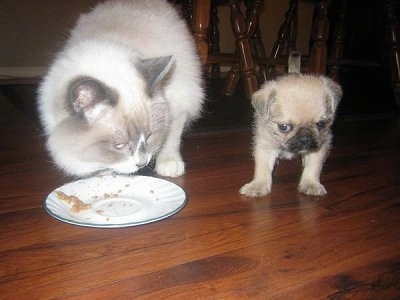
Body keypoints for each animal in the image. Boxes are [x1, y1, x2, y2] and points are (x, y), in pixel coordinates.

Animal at [38, 0, 203, 177]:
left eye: (149, 136)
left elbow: (172, 137)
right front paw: (104, 175)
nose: (141, 163)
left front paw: (169, 163)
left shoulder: (179, 105)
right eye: (119, 145)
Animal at [239, 51, 342, 197]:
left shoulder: (320, 146)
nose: (305, 138)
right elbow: (262, 169)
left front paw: (310, 184)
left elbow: (313, 167)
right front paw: (258, 185)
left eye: (321, 124)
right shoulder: (265, 146)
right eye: (284, 127)